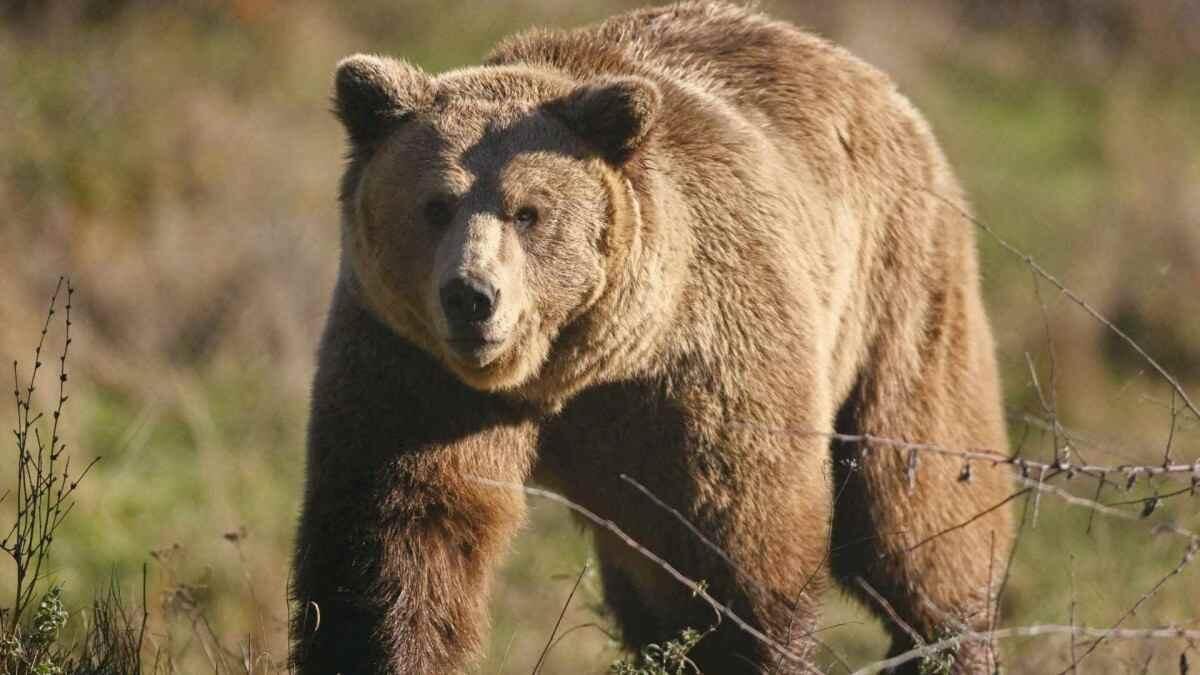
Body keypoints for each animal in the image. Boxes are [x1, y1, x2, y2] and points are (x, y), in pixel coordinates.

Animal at [290, 2, 1015, 673]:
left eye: (529, 211)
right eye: (435, 205)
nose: (472, 296)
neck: (571, 367)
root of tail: (871, 79)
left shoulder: (703, 368)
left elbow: (741, 552)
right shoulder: (415, 368)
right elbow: (402, 537)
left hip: (899, 292)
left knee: (920, 509)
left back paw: (952, 639)